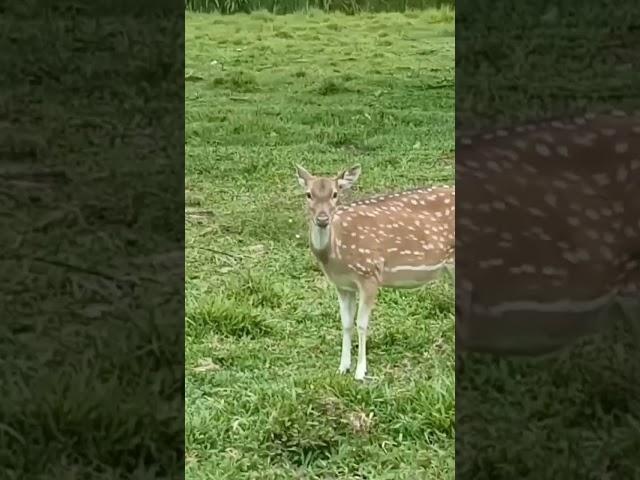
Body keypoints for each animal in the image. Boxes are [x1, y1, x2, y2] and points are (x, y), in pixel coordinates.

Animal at [296, 165, 456, 378]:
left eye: (335, 194)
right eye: (308, 194)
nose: (322, 219)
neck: (337, 253)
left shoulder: (370, 273)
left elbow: (362, 324)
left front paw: (360, 371)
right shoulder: (342, 285)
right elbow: (346, 322)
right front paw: (343, 367)